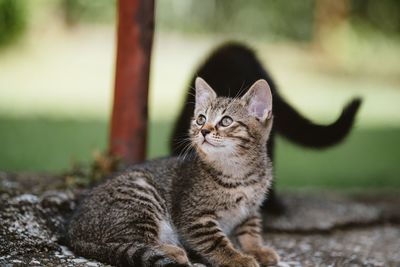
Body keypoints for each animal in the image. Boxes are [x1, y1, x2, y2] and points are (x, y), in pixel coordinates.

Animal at [67, 78, 280, 266]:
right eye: (201, 119)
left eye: (226, 121)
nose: (204, 131)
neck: (240, 174)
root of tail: (74, 233)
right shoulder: (195, 218)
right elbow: (217, 243)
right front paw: (239, 259)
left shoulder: (250, 210)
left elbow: (250, 230)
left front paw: (256, 249)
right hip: (141, 194)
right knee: (127, 243)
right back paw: (173, 251)